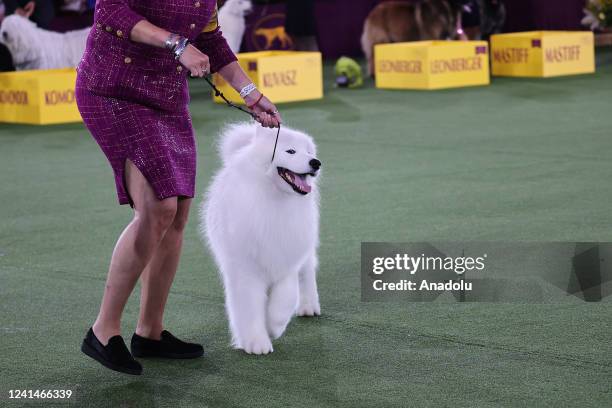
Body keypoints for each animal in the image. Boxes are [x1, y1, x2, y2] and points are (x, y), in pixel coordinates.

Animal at [201, 121, 322, 354]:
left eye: (309, 152)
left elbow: (285, 298)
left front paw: (274, 327)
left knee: (307, 276)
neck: (273, 199)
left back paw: (309, 307)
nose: (316, 162)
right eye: (290, 151)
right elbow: (249, 307)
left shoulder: (287, 260)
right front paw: (256, 342)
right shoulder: (245, 269)